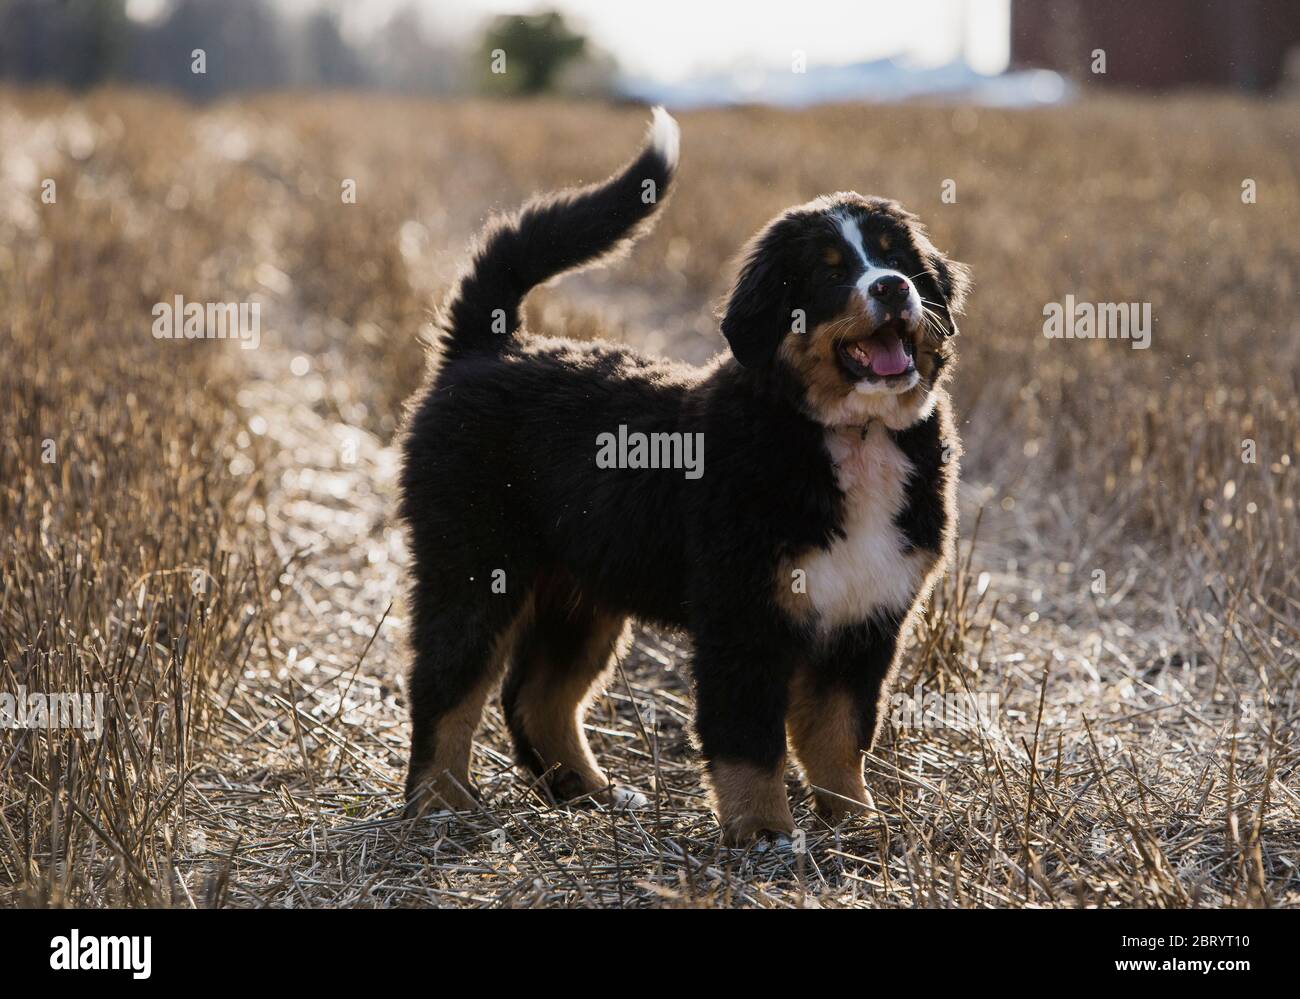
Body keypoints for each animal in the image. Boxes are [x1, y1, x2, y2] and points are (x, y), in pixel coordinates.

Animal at [400, 109, 972, 842]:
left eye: (896, 258)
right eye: (829, 273)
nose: (892, 287)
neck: (851, 432)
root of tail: (488, 348)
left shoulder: (866, 618)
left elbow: (839, 736)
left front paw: (857, 826)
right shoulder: (742, 613)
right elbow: (749, 739)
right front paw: (764, 836)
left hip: (581, 589)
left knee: (537, 695)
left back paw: (590, 793)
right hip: (473, 564)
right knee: (447, 687)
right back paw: (439, 806)